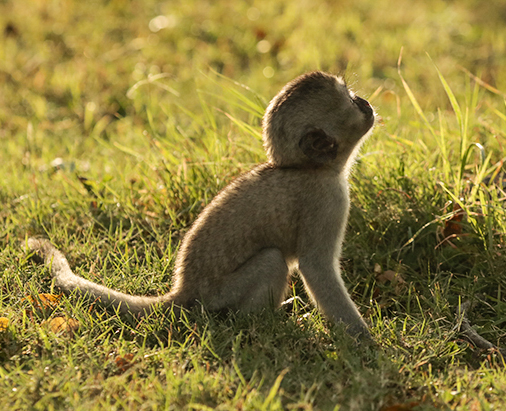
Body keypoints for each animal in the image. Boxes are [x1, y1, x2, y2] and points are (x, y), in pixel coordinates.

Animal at [26, 71, 376, 340]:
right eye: (350, 100)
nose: (365, 102)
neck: (307, 168)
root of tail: (184, 290)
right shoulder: (327, 201)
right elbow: (316, 268)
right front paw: (363, 341)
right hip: (219, 295)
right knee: (272, 260)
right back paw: (258, 321)